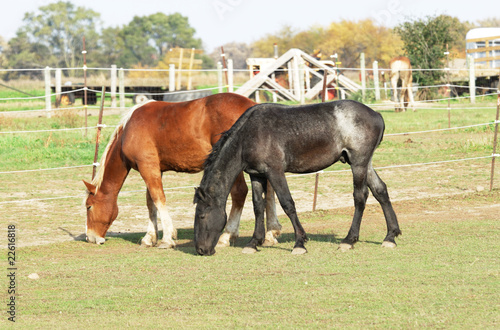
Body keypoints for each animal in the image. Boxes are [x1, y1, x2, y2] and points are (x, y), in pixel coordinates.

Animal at [85, 93, 282, 248]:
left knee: (240, 193)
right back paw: (271, 233)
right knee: (269, 191)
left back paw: (227, 235)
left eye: (89, 206)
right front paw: (150, 237)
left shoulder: (147, 167)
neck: (129, 129)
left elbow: (158, 199)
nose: (90, 237)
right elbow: (150, 203)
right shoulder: (154, 169)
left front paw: (166, 238)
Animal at [193, 100, 400, 255]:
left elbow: (288, 204)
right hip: (365, 164)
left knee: (360, 197)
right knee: (380, 190)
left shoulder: (275, 172)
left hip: (358, 164)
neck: (249, 134)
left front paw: (299, 242)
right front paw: (253, 242)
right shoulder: (256, 175)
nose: (201, 250)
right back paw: (390, 236)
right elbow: (258, 207)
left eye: (202, 215)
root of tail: (376, 114)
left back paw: (349, 240)